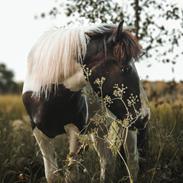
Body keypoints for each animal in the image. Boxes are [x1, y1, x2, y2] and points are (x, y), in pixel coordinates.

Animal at [22, 20, 150, 182]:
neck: (46, 93)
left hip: (127, 127)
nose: (145, 116)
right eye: (126, 68)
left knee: (132, 163)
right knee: (106, 162)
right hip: (100, 130)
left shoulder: (76, 131)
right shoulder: (39, 133)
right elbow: (51, 175)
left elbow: (71, 175)